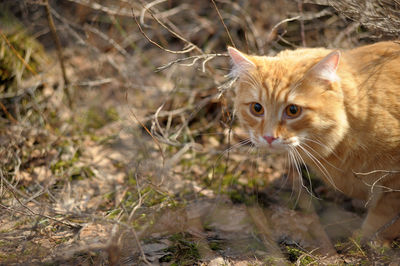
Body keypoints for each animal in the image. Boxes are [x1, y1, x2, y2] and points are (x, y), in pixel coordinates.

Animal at [228, 41, 400, 241]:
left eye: (293, 110)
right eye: (257, 108)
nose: (269, 137)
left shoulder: (393, 182)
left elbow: (382, 214)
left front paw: (364, 239)